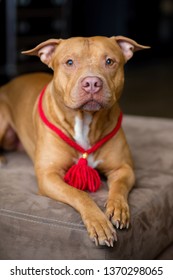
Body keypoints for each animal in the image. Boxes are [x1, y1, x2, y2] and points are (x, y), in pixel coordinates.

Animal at [0, 36, 149, 246]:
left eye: (109, 61)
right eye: (69, 62)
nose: (92, 82)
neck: (85, 121)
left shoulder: (123, 169)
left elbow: (119, 188)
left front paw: (118, 208)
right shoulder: (49, 176)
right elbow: (79, 194)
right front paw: (99, 222)